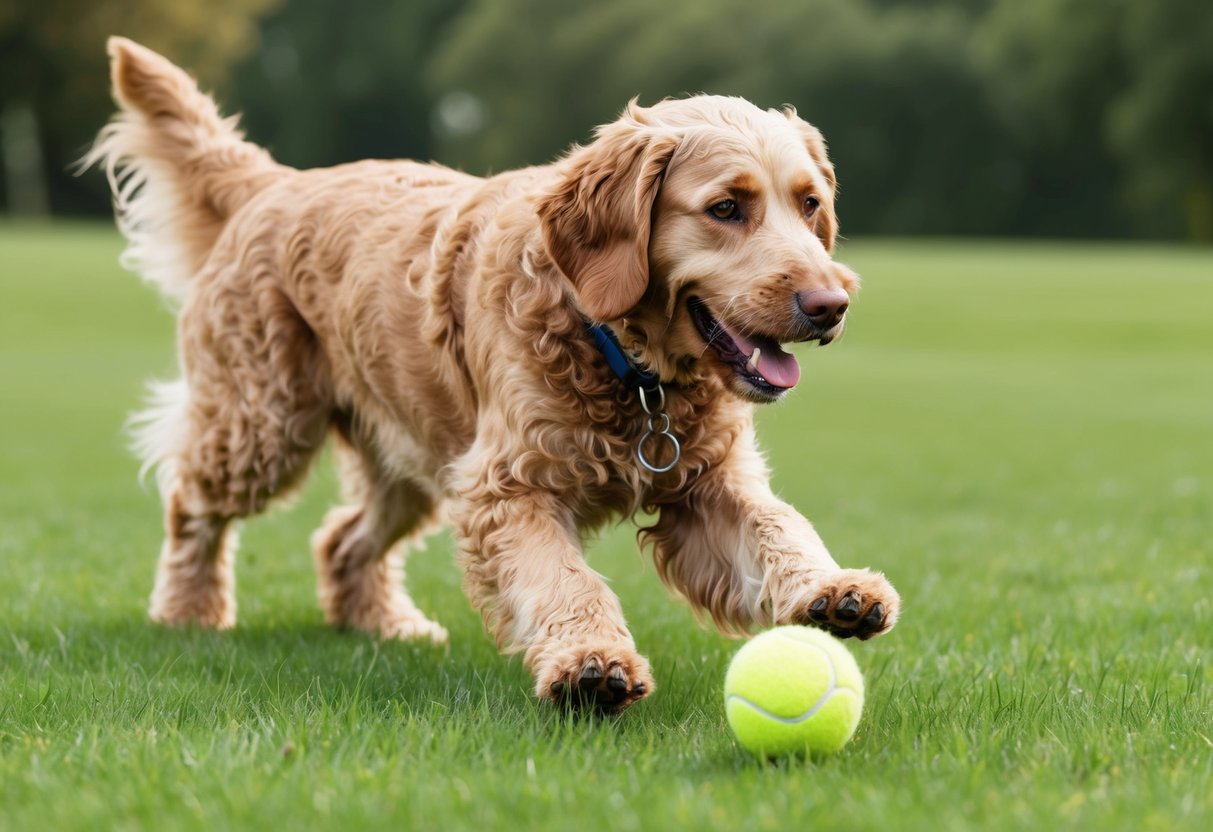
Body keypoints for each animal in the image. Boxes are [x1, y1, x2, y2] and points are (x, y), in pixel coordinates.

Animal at [87, 39, 902, 713]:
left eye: (809, 204)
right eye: (727, 207)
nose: (830, 305)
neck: (623, 360)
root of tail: (272, 182)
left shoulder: (707, 485)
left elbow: (777, 528)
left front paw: (833, 590)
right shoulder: (508, 486)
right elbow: (565, 580)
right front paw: (591, 664)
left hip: (413, 454)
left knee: (343, 539)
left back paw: (385, 624)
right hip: (264, 427)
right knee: (191, 505)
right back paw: (189, 612)